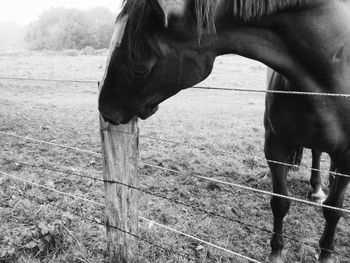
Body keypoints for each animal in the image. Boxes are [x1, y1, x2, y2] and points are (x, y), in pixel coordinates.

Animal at [98, 1, 350, 262]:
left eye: (139, 65)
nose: (104, 108)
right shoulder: (275, 145)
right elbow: (280, 202)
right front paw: (276, 253)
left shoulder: (346, 156)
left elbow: (334, 211)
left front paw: (326, 254)